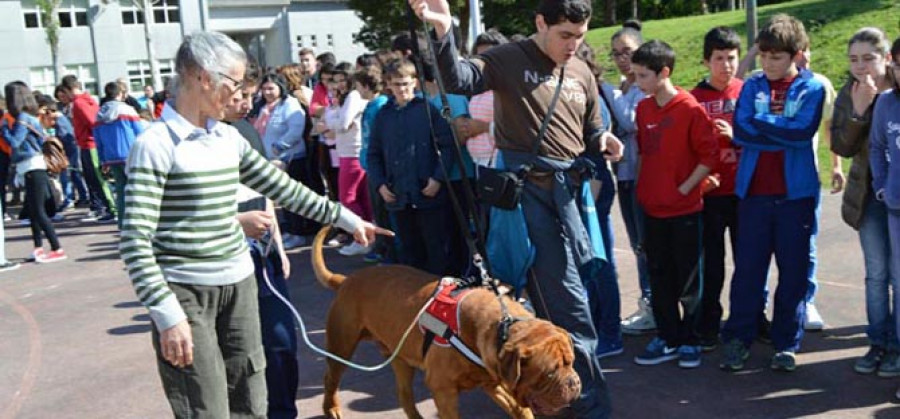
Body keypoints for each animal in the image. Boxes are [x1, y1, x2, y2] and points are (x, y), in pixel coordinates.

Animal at [312, 228, 580, 418]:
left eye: (571, 362)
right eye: (549, 372)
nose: (575, 382)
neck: (502, 326)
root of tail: (345, 280)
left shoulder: (493, 381)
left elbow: (521, 409)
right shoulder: (443, 390)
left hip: (400, 357)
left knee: (404, 395)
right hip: (342, 344)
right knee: (330, 377)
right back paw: (331, 408)